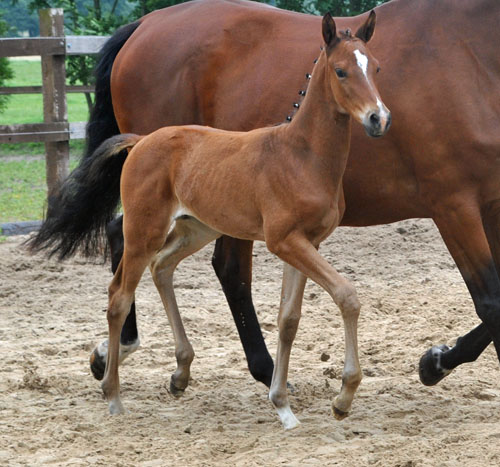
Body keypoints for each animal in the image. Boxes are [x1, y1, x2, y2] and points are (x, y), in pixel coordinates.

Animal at [31, 0, 500, 388]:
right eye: (341, 72)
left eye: (380, 70)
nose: (379, 119)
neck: (470, 53)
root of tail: (145, 24)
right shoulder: (453, 206)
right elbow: (491, 302)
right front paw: (434, 363)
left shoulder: (490, 206)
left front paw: (435, 361)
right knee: (185, 261)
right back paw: (258, 369)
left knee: (160, 249)